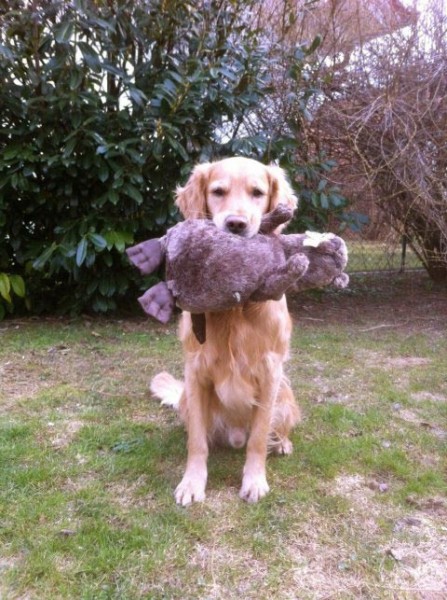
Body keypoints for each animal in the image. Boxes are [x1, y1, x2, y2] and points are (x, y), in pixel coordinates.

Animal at [150, 157, 301, 505]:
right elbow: (196, 442)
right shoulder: (195, 370)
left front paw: (254, 480)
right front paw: (192, 482)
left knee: (274, 429)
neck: (235, 308)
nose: (235, 224)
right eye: (218, 192)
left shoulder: (270, 372)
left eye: (257, 193)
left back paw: (282, 443)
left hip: (286, 395)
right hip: (188, 400)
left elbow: (258, 438)